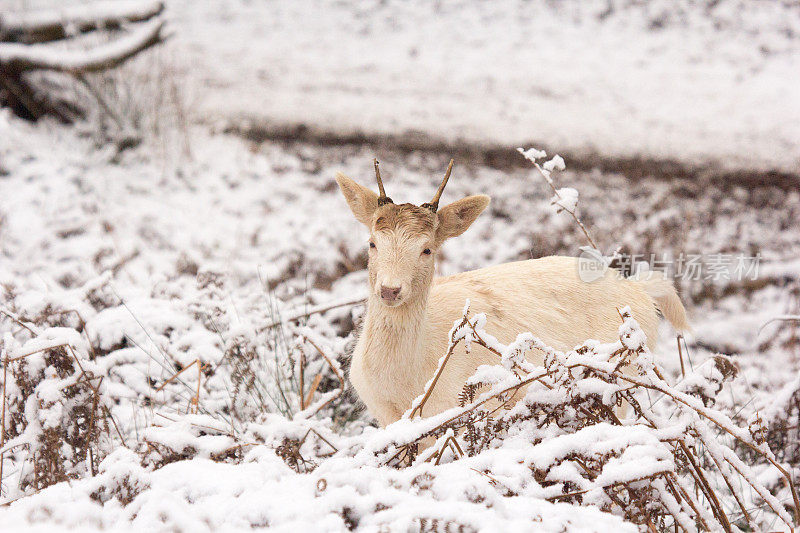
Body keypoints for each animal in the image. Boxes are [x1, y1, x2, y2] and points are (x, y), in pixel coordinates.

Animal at [334, 160, 692, 426]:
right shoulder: (385, 415)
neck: (406, 382)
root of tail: (640, 287)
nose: (390, 289)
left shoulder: (456, 410)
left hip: (620, 377)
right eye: (372, 242)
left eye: (427, 249)